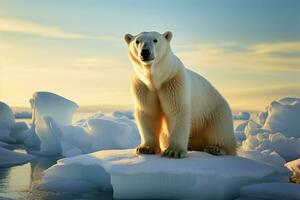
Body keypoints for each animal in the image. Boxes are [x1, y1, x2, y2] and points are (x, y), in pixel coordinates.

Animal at [124, 30, 237, 158]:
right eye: (137, 41)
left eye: (155, 40)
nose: (145, 52)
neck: (156, 80)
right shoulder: (143, 87)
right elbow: (148, 113)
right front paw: (145, 148)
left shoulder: (173, 82)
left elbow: (177, 110)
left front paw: (174, 151)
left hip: (216, 112)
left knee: (220, 130)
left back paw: (216, 148)